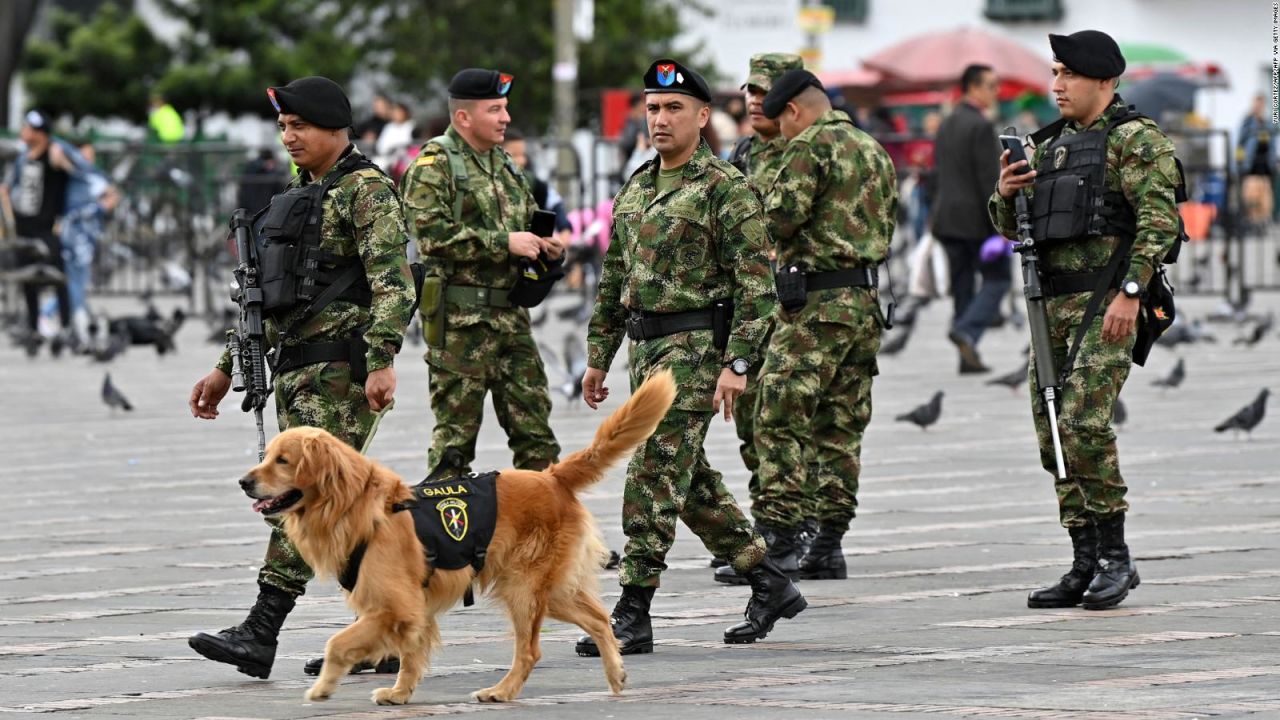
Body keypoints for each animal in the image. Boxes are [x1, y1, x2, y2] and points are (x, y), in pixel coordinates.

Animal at [240, 368, 680, 702]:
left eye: (282, 460)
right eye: (267, 456)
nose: (244, 482)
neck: (356, 505)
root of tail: (552, 478)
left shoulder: (396, 605)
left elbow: (338, 643)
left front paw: (323, 688)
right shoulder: (405, 609)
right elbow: (409, 654)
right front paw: (399, 694)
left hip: (523, 588)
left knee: (531, 651)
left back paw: (501, 691)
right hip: (549, 589)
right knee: (599, 619)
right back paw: (616, 674)